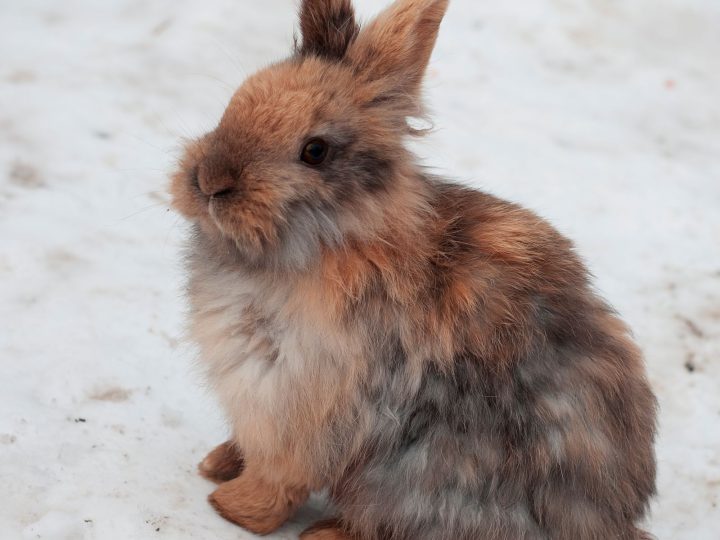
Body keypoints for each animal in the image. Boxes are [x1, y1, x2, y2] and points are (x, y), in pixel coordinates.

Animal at [170, 0, 657, 538]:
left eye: (315, 151)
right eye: (236, 99)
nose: (210, 181)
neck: (336, 241)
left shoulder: (300, 404)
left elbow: (279, 476)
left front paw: (231, 507)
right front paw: (216, 464)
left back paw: (324, 532)